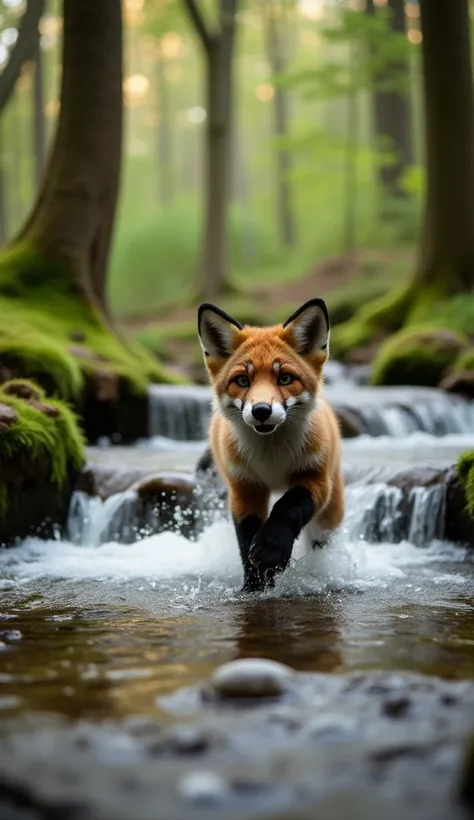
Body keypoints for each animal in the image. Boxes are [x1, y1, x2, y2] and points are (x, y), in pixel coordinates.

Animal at [196, 298, 344, 592]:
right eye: (242, 380)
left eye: (284, 378)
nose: (261, 411)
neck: (272, 459)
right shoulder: (245, 488)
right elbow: (246, 539)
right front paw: (254, 585)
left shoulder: (316, 479)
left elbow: (288, 507)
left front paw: (271, 550)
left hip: (330, 514)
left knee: (321, 540)